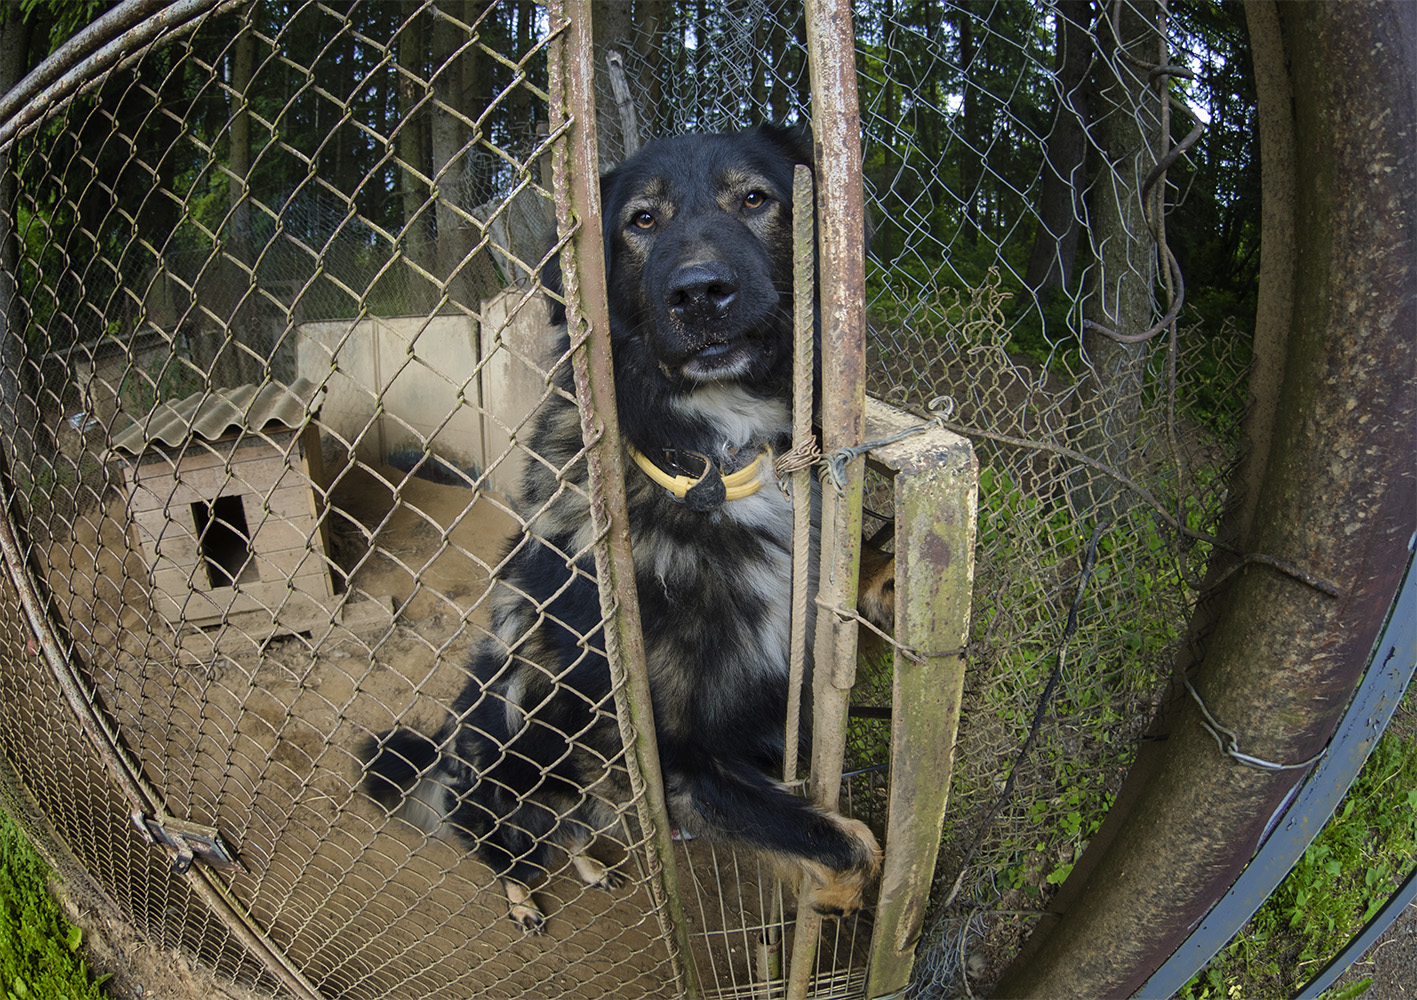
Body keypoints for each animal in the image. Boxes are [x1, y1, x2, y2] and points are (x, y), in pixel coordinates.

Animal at [359, 122, 878, 929]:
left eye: (755, 199)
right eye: (642, 220)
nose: (699, 293)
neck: (713, 465)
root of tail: (443, 754)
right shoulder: (661, 747)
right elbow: (846, 842)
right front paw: (834, 894)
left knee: (573, 829)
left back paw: (591, 865)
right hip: (508, 769)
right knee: (501, 849)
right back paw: (521, 900)